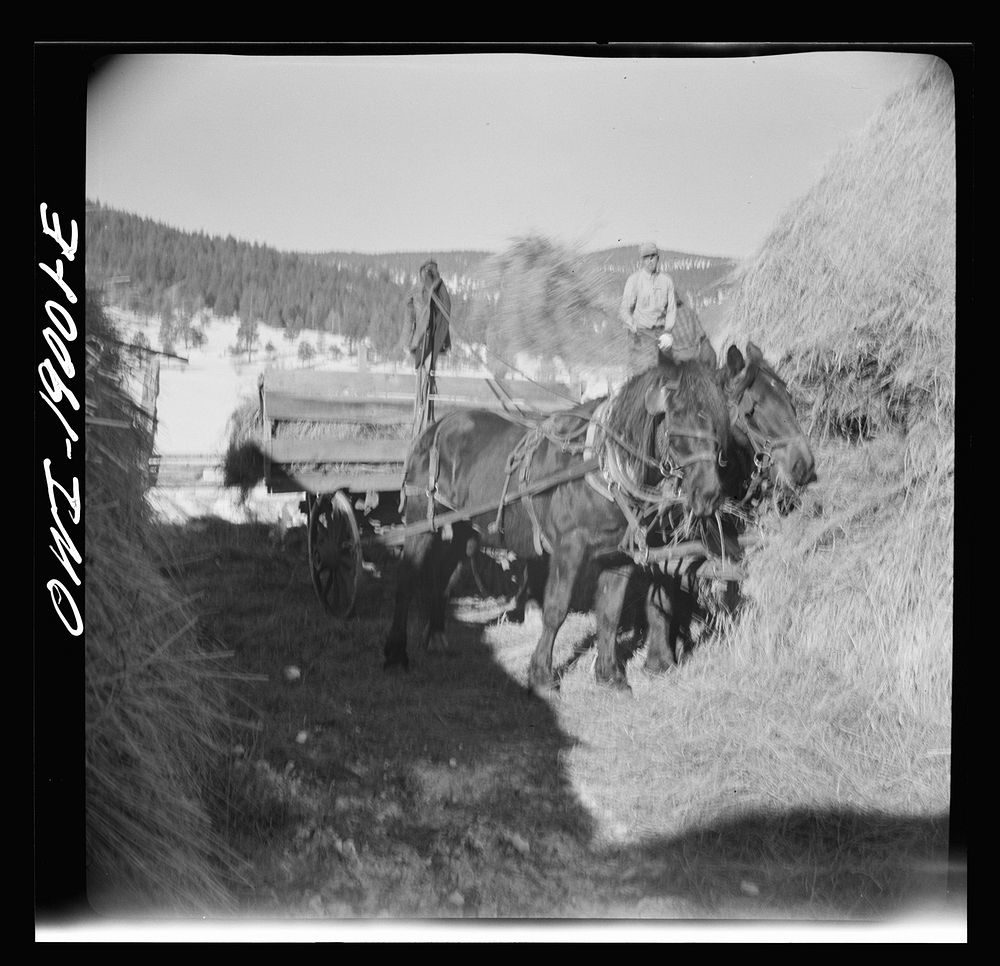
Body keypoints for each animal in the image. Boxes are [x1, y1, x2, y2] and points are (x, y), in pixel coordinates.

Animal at [380, 360, 728, 692]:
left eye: (717, 417)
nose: (709, 494)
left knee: (444, 577)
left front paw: (609, 676)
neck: (603, 467)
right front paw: (541, 675)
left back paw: (437, 639)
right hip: (421, 521)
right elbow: (556, 610)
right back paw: (396, 653)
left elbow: (609, 615)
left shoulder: (618, 557)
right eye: (677, 415)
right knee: (406, 581)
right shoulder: (568, 548)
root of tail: (437, 426)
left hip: (464, 529)